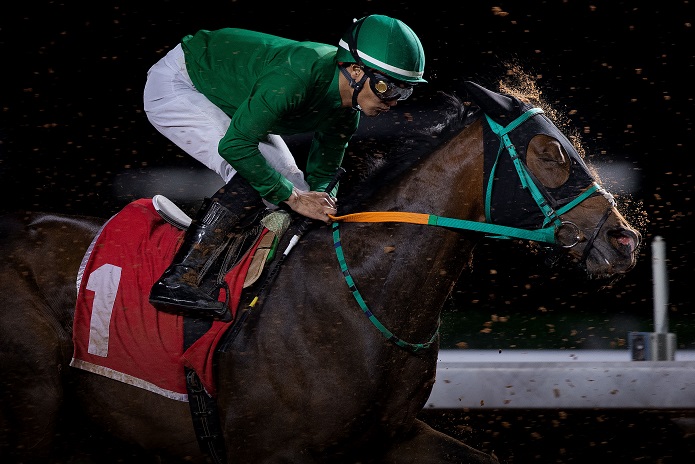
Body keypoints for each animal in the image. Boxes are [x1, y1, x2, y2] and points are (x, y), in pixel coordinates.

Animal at [0, 81, 641, 463]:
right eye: (549, 153)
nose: (624, 239)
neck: (354, 298)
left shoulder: (392, 436)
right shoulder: (273, 454)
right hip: (33, 396)